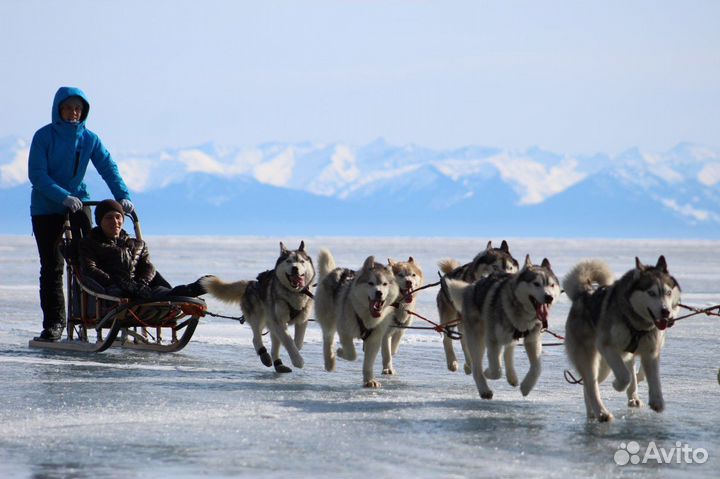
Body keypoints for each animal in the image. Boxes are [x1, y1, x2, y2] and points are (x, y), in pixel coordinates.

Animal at [202, 242, 316, 374]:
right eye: (288, 261)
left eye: (301, 261)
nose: (295, 268)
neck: (295, 293)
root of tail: (251, 284)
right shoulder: (279, 321)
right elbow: (288, 340)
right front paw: (298, 360)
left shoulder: (302, 320)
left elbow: (298, 341)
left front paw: (296, 351)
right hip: (258, 316)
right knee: (256, 338)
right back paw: (264, 355)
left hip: (270, 321)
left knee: (275, 343)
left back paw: (279, 364)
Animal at [316, 249, 402, 388]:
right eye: (371, 283)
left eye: (385, 284)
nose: (379, 293)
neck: (365, 315)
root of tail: (333, 271)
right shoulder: (344, 331)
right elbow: (352, 354)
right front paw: (340, 352)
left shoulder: (374, 338)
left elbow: (368, 363)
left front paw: (369, 380)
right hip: (328, 319)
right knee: (328, 339)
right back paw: (330, 362)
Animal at [434, 242, 516, 374]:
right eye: (495, 267)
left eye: (510, 268)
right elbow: (466, 344)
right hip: (450, 316)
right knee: (448, 339)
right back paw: (454, 362)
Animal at [448, 256, 560, 400]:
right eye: (536, 283)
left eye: (552, 285)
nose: (549, 297)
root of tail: (471, 287)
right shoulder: (492, 339)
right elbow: (496, 370)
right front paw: (488, 372)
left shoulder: (532, 340)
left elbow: (537, 368)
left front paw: (526, 387)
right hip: (477, 339)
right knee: (477, 367)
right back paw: (484, 389)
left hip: (507, 337)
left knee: (508, 352)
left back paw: (512, 376)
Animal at [564, 256, 676, 422]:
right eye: (651, 293)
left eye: (668, 292)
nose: (665, 312)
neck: (637, 325)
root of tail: (583, 294)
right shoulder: (607, 345)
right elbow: (625, 377)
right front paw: (617, 385)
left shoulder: (651, 352)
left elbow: (654, 378)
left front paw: (657, 401)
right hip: (591, 359)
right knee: (591, 385)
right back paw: (602, 412)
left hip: (604, 366)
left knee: (587, 386)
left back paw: (593, 413)